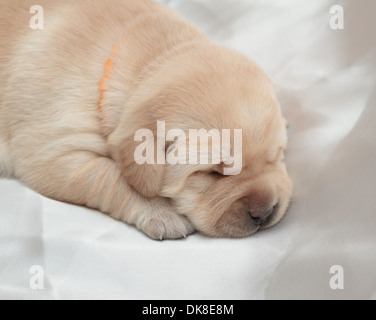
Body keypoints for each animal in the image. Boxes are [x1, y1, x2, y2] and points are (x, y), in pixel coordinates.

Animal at [0, 0, 292, 240]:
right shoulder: (54, 152)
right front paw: (161, 213)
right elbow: (112, 178)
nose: (265, 211)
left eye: (275, 157)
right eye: (213, 173)